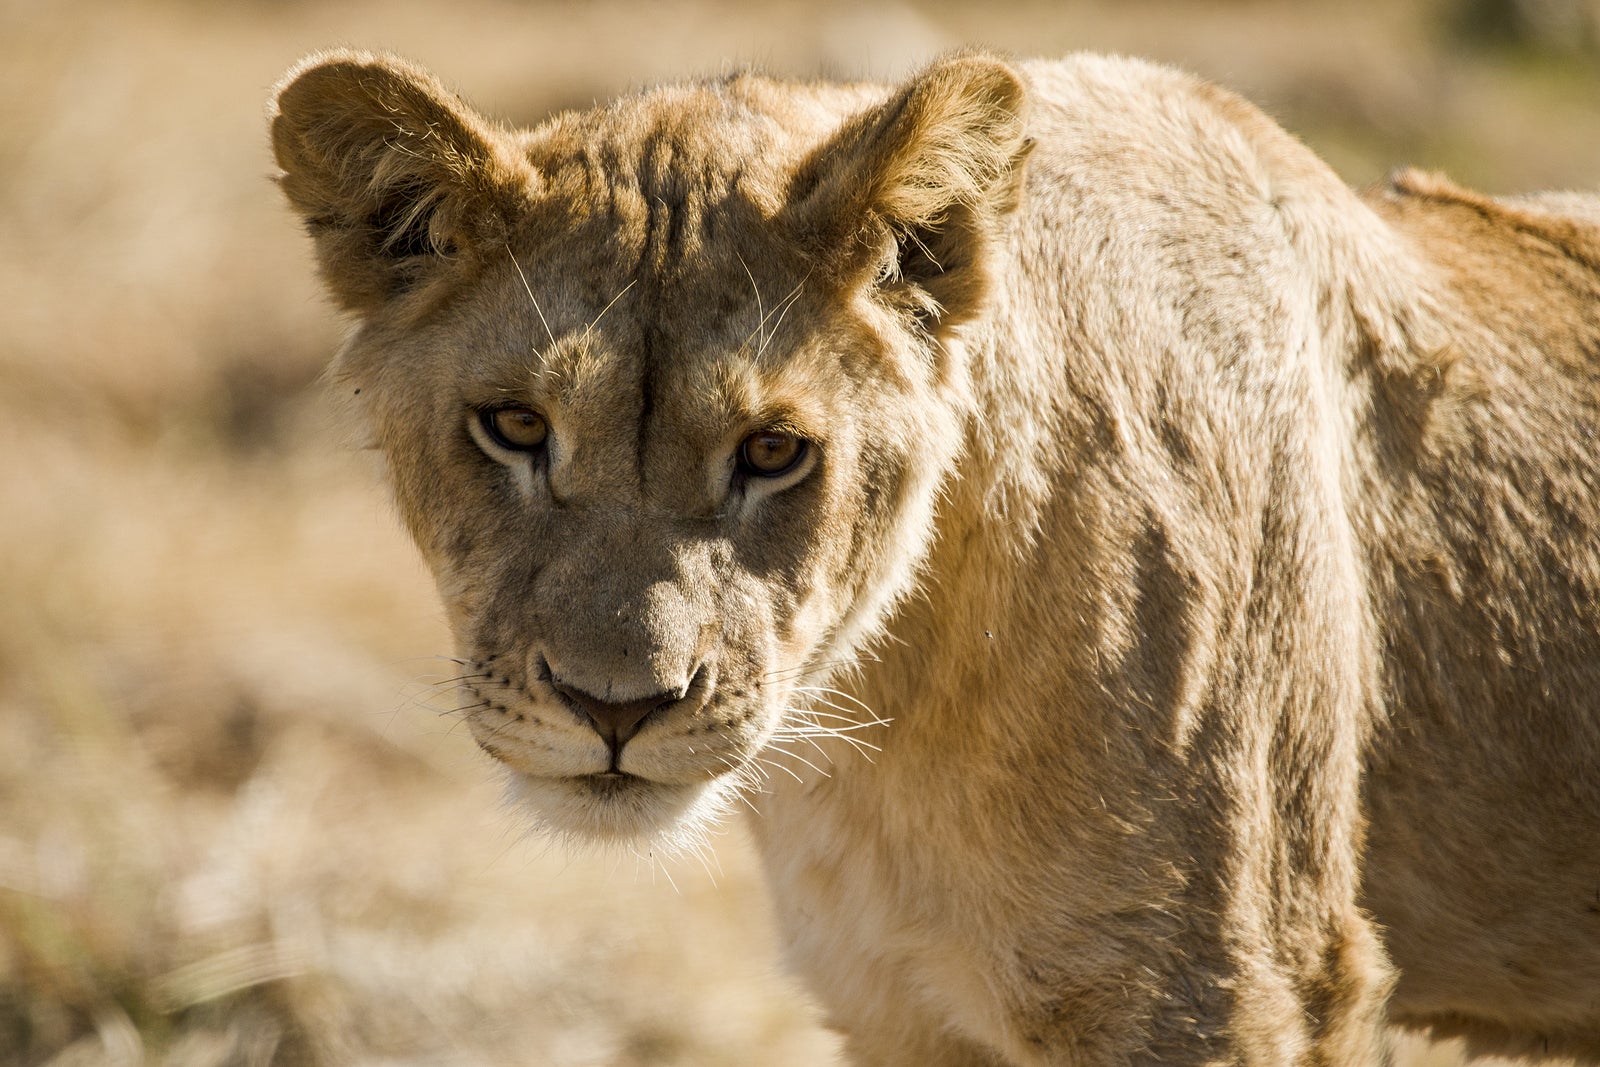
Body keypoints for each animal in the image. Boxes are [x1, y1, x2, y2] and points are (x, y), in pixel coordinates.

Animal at [272, 49, 1600, 1067]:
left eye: (773, 451)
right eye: (514, 426)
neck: (885, 717)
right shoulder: (901, 1011)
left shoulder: (1233, 985)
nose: (617, 707)